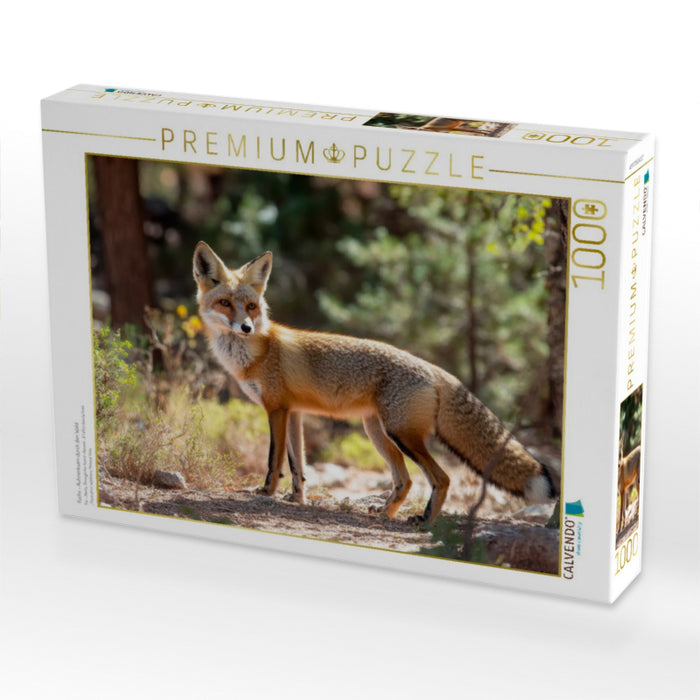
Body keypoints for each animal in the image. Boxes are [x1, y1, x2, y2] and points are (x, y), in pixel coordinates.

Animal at [193, 241, 559, 525]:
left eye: (251, 306)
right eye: (226, 303)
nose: (245, 327)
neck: (255, 353)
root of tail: (437, 370)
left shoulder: (276, 409)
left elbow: (274, 460)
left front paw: (266, 492)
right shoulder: (292, 412)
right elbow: (298, 465)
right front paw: (296, 500)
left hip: (401, 434)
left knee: (441, 477)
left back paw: (425, 521)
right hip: (378, 432)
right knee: (405, 481)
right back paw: (385, 513)